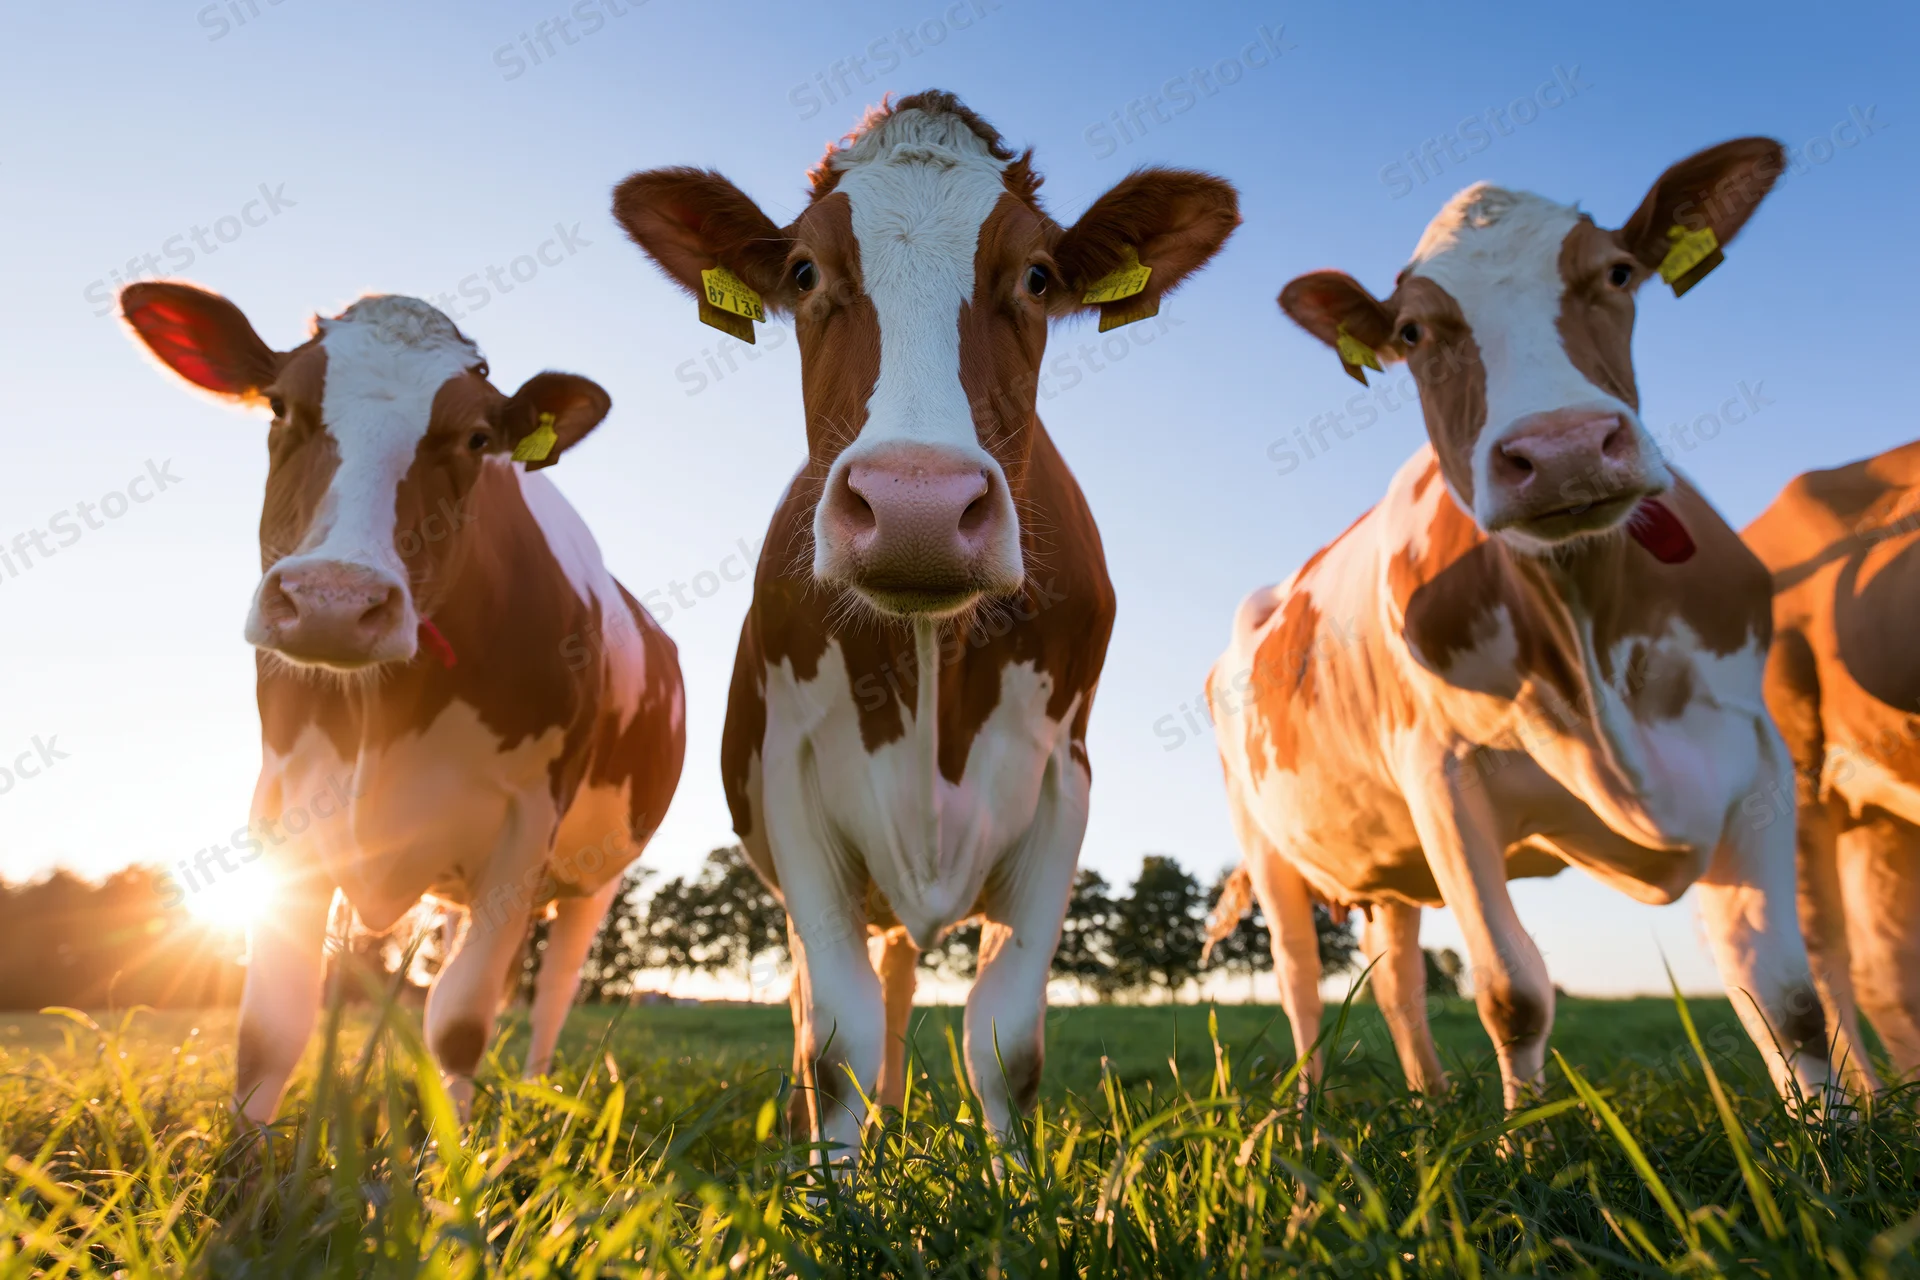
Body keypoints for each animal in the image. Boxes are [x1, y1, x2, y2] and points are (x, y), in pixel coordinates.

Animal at [119, 284, 685, 1121]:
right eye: (281, 405)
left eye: (478, 437)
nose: (333, 599)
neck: (384, 713)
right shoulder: (281, 800)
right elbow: (270, 1026)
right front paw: (246, 1155)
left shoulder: (526, 824)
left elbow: (459, 1021)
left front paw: (454, 1153)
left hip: (597, 876)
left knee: (553, 989)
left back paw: (538, 1088)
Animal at [612, 90, 1237, 1159]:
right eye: (806, 271)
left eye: (1036, 275)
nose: (917, 506)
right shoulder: (795, 789)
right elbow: (836, 1040)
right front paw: (828, 1192)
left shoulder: (1060, 783)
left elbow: (1005, 1040)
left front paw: (1017, 1186)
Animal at [1205, 138, 1855, 1111]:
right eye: (1412, 333)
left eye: (1618, 271)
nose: (1564, 450)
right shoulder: (1443, 777)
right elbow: (1514, 994)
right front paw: (1527, 1137)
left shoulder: (1753, 754)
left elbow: (1788, 998)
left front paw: (1828, 1138)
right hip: (1271, 842)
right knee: (1300, 983)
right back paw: (1310, 1117)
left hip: (1390, 870)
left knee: (1396, 979)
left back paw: (1432, 1103)